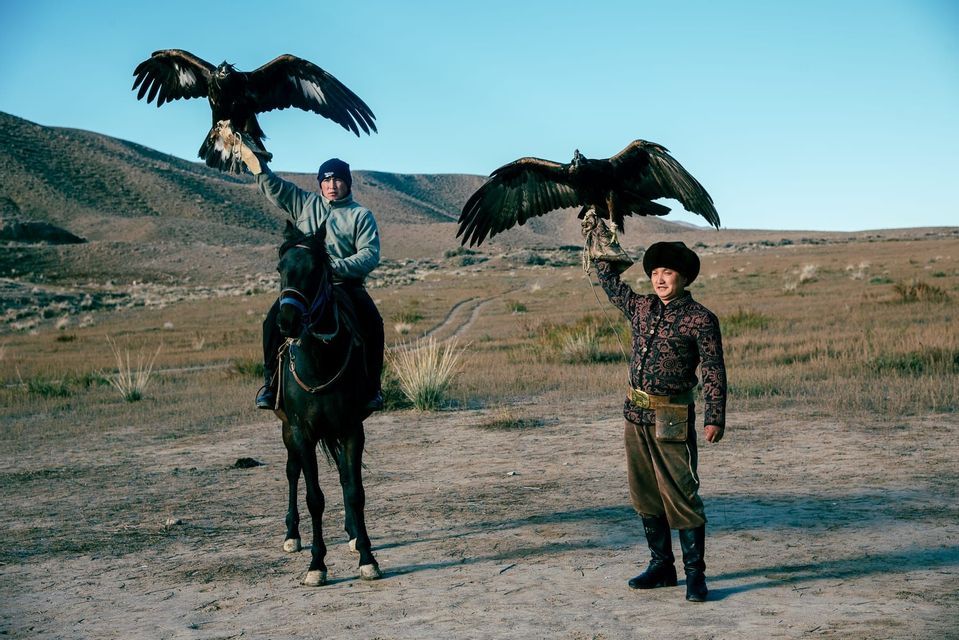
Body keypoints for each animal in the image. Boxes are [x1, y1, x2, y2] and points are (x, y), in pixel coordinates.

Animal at [272, 220, 381, 586]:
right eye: (280, 268)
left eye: (315, 269)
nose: (287, 321)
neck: (320, 361)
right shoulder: (302, 432)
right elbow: (314, 497)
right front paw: (317, 565)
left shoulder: (351, 429)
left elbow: (354, 491)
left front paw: (366, 556)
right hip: (286, 431)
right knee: (292, 472)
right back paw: (292, 535)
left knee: (345, 479)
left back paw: (353, 535)